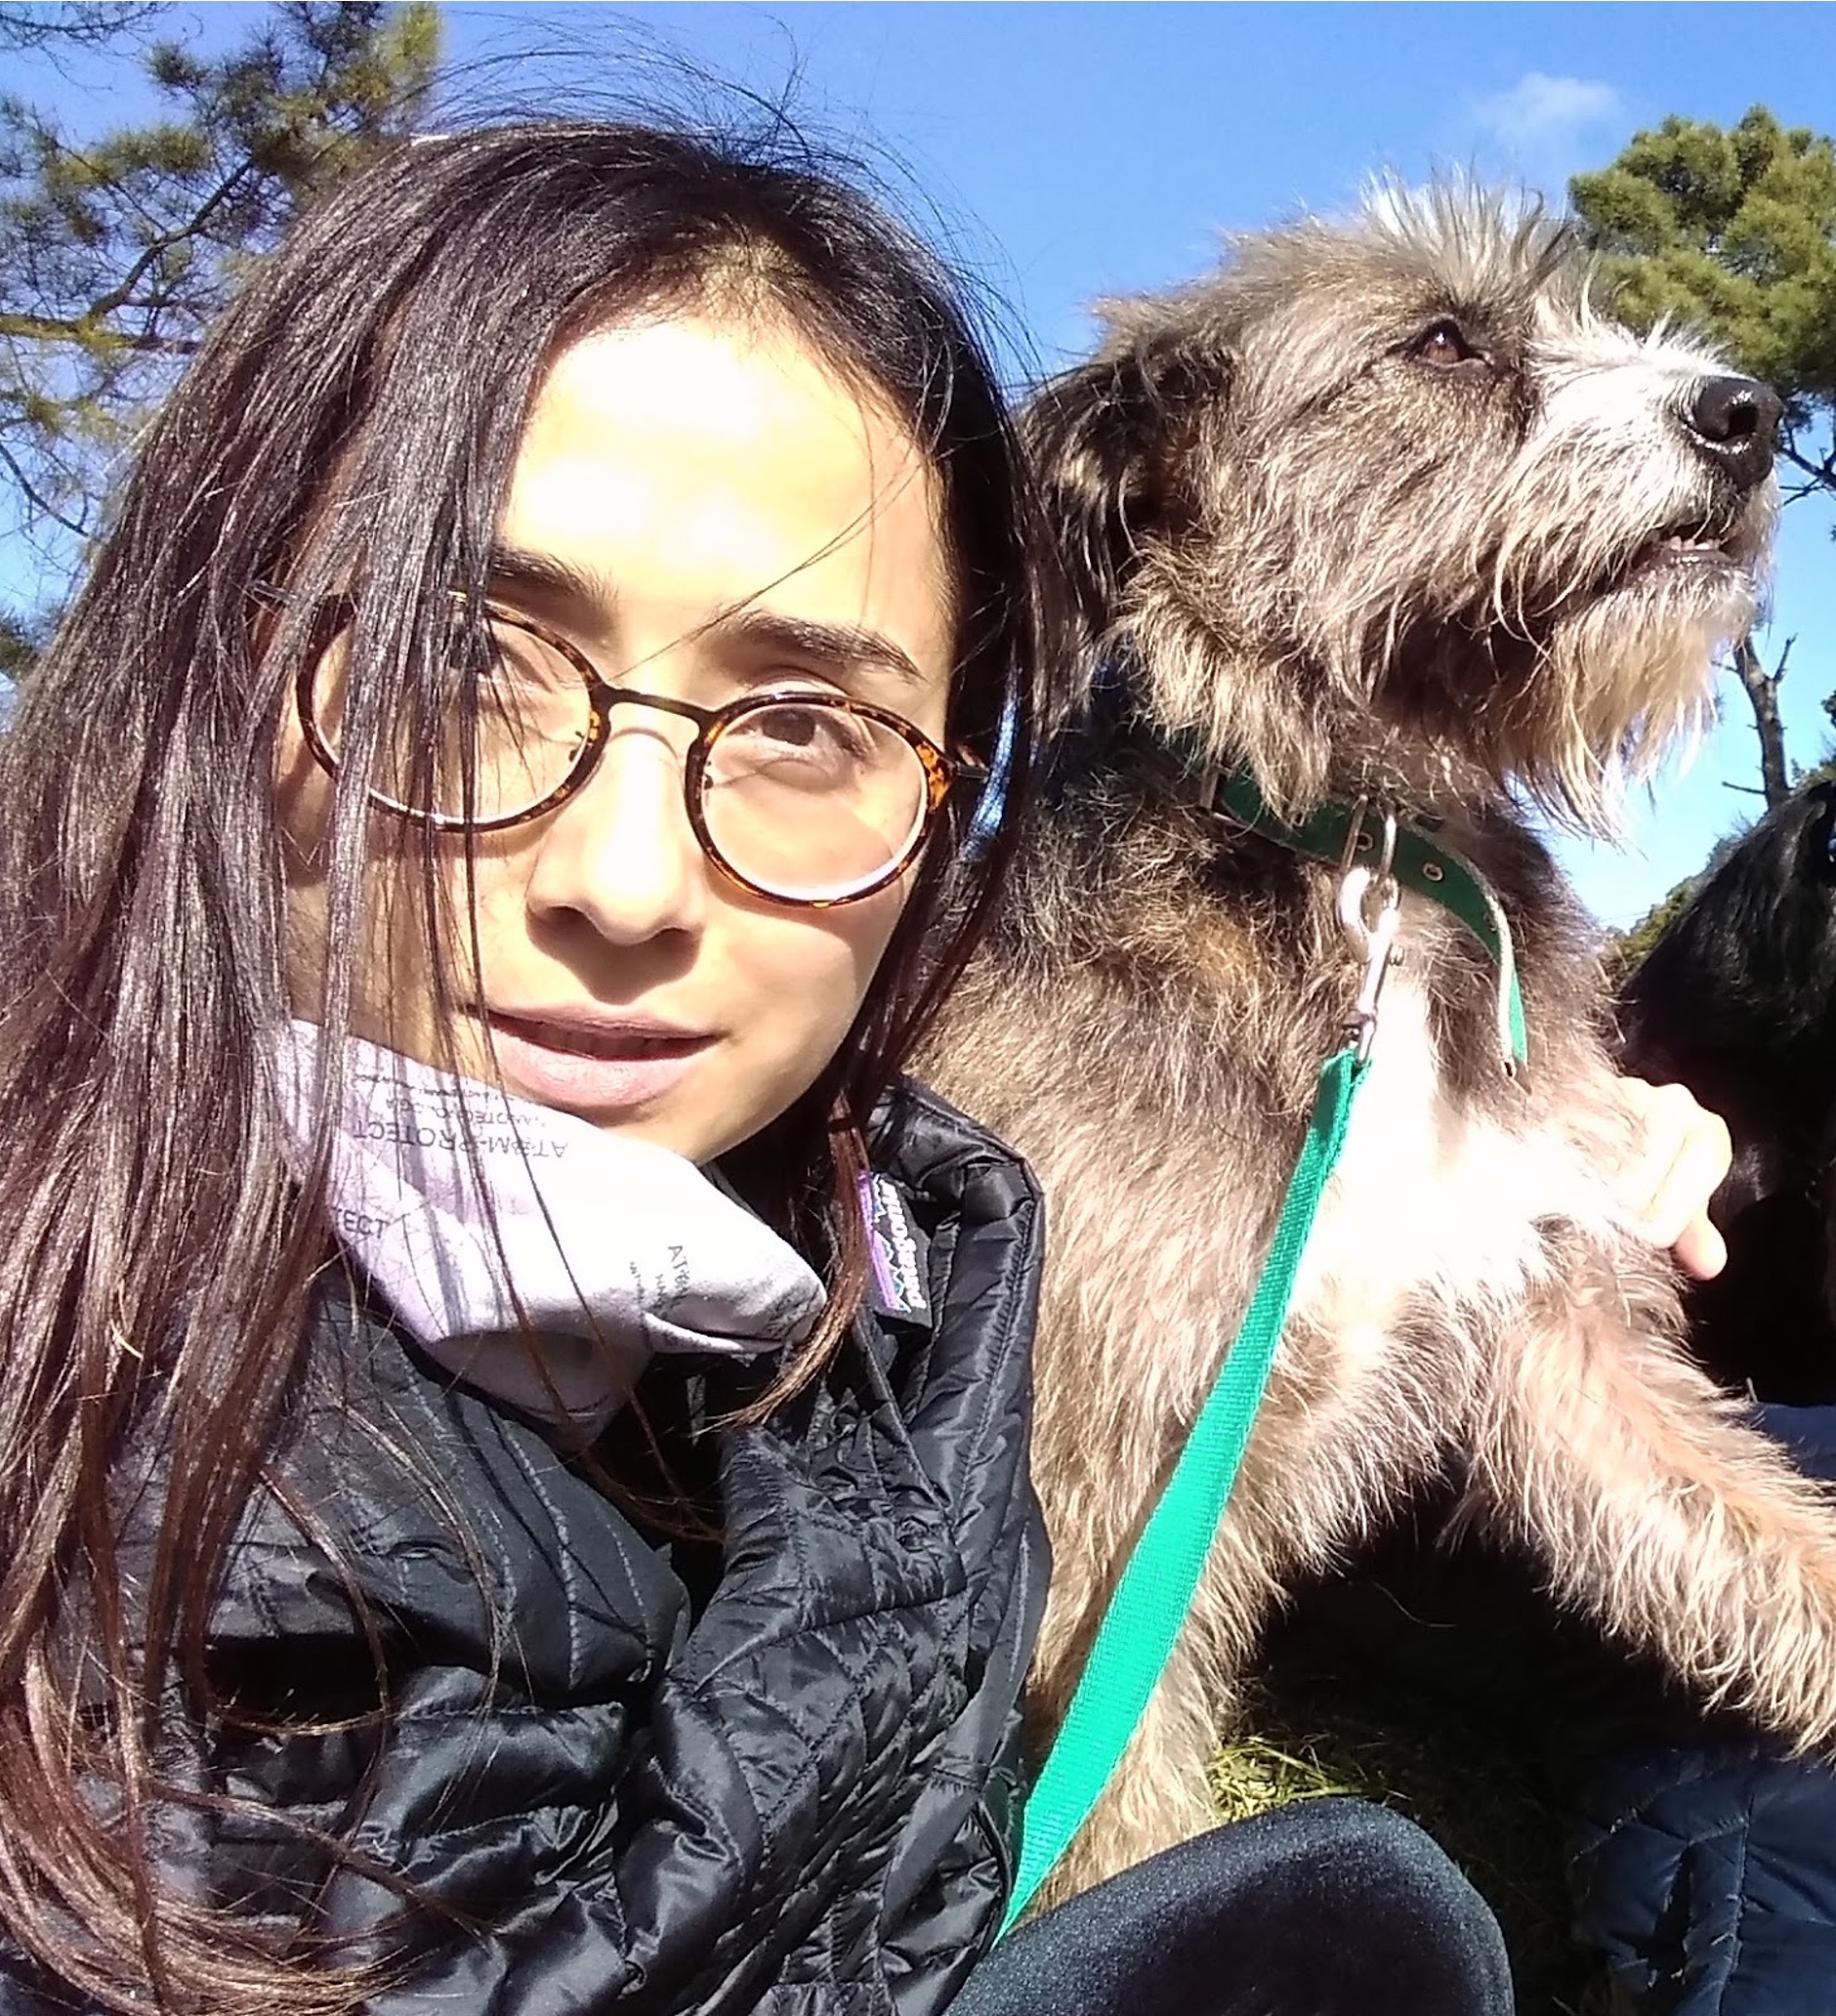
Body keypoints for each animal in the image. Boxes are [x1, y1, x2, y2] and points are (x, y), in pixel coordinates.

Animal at [927, 189, 1829, 1903]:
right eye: (1444, 342)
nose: (1752, 414)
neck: (1376, 868)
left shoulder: (1558, 1328)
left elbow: (1757, 1537)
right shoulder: (1114, 1494)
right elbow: (1125, 1823)